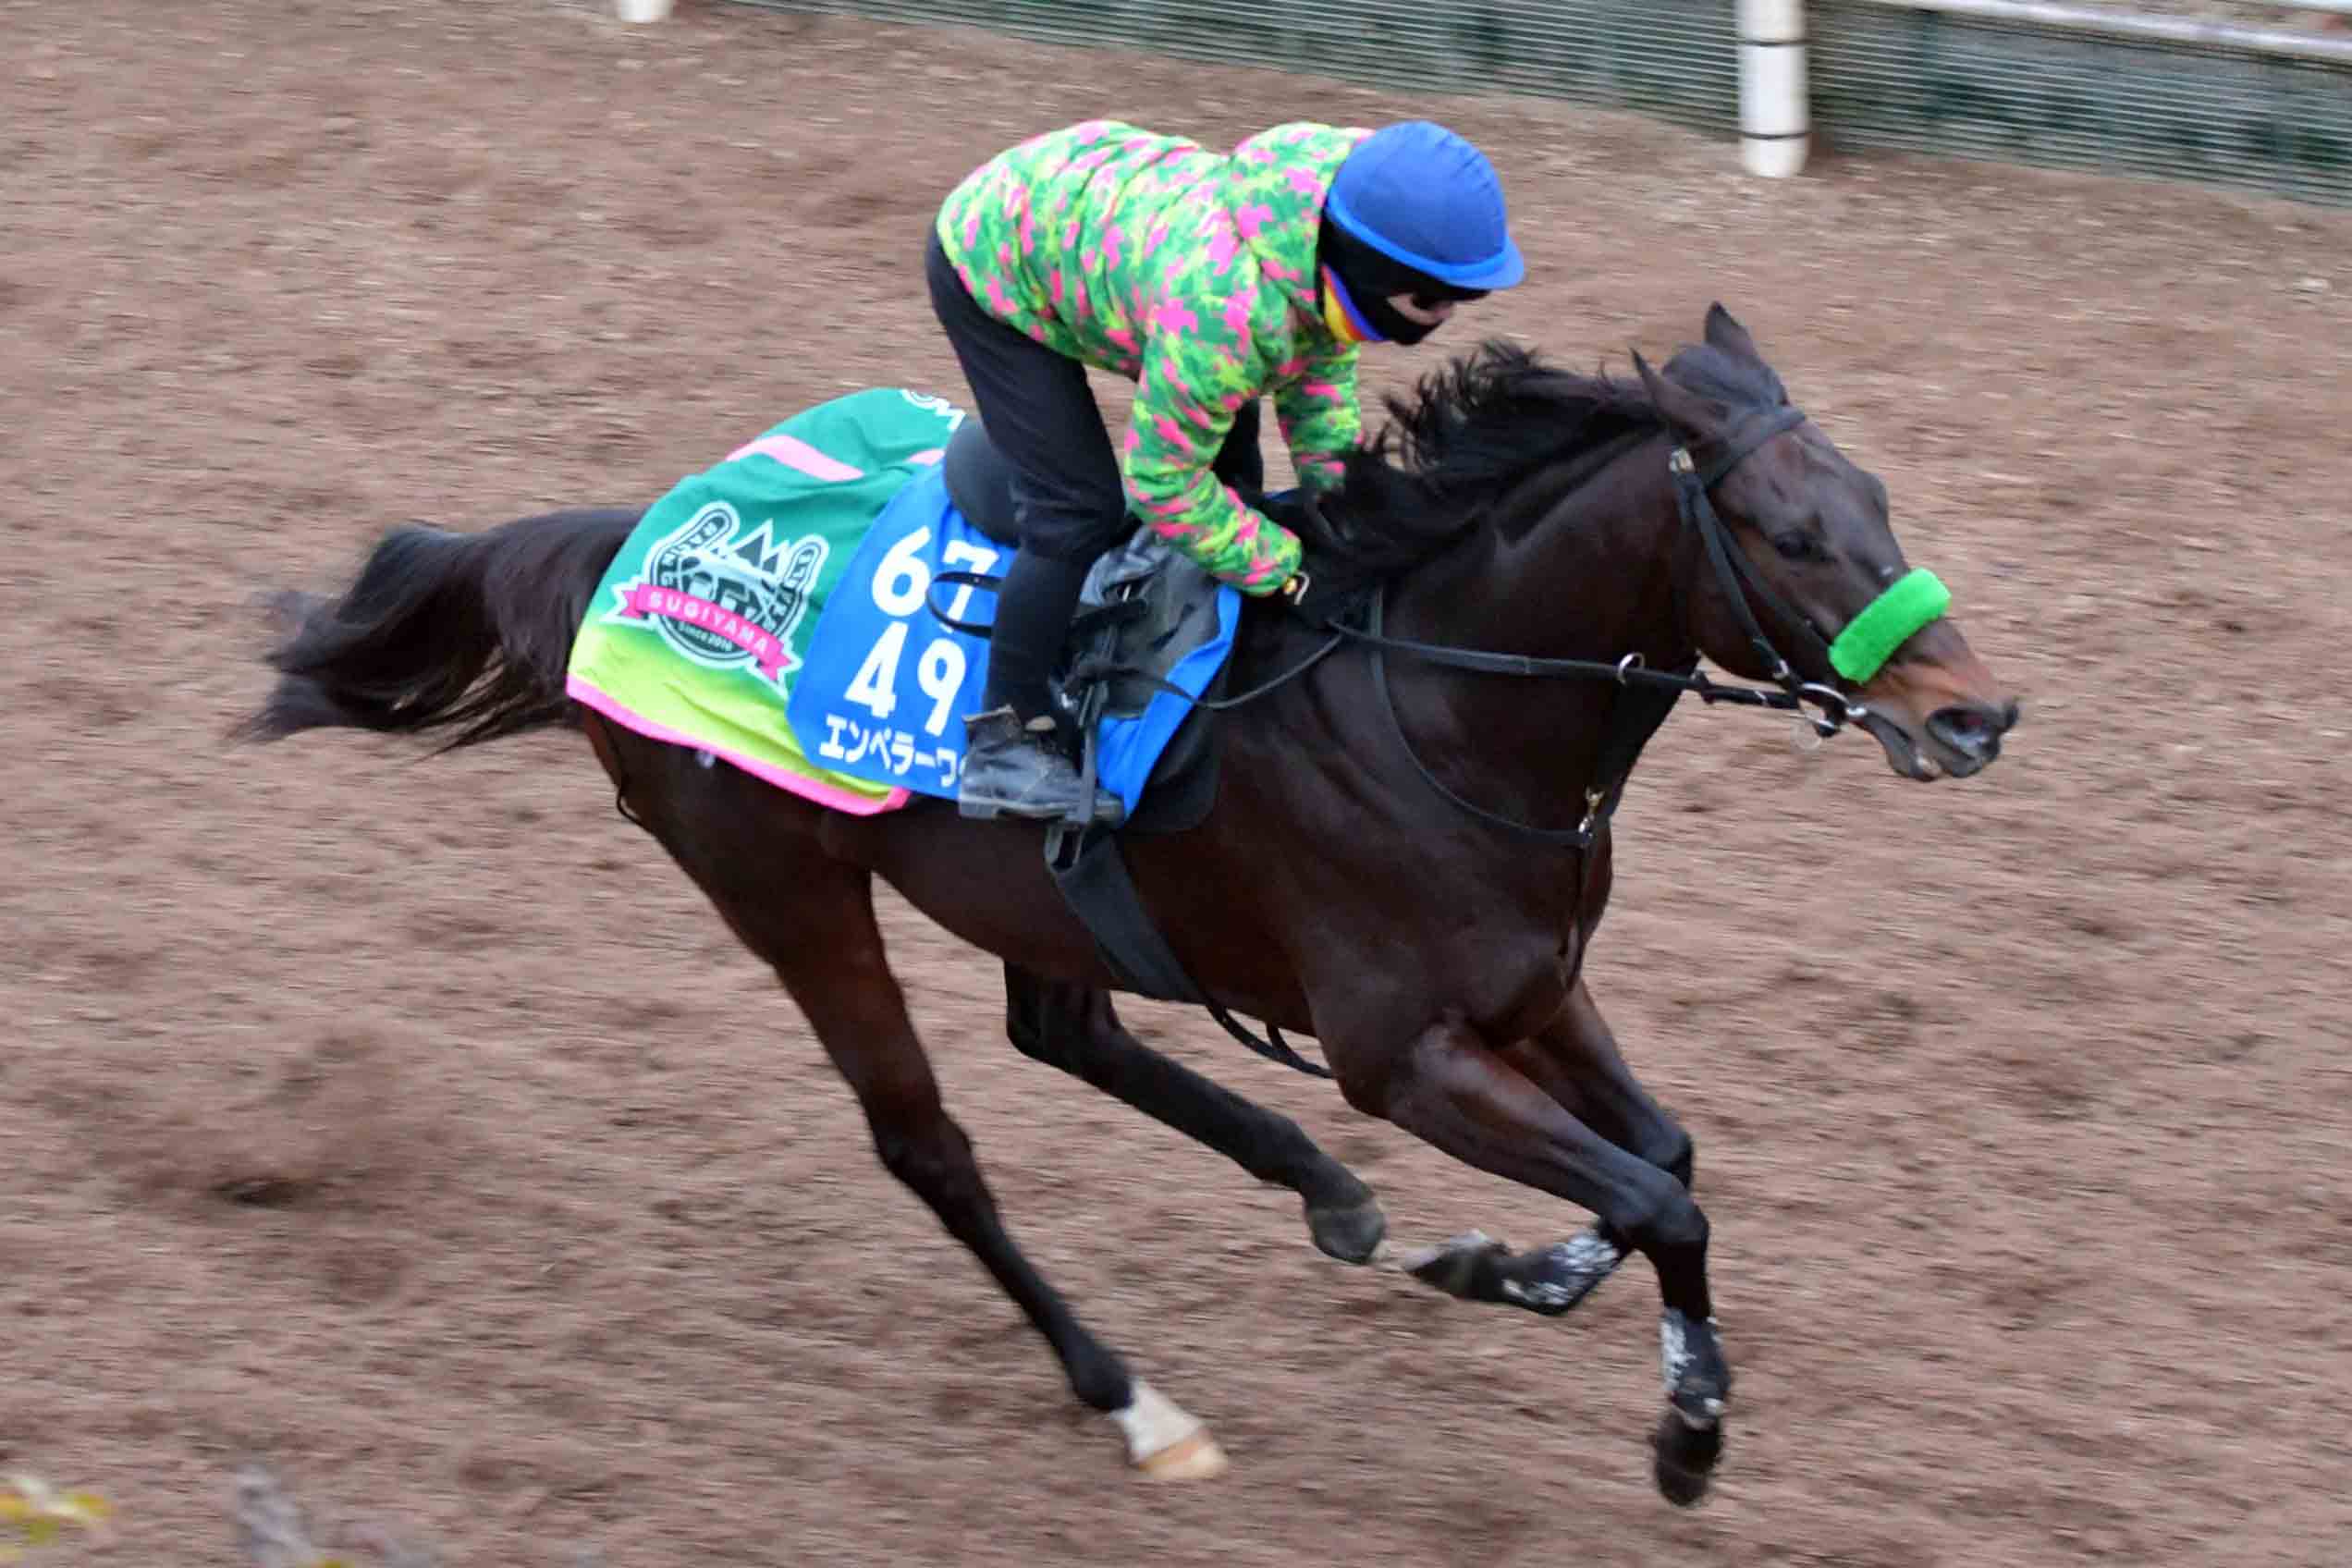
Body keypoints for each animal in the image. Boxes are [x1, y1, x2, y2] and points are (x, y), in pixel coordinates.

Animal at [237, 304, 2020, 1504]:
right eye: (1790, 535)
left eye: (1877, 503)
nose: (1974, 715)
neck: (1438, 708)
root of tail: (641, 541)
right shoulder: (1406, 1055)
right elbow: (1654, 1199)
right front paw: (1668, 1419)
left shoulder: (1535, 991)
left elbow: (1667, 1166)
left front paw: (1528, 1282)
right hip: (782, 883)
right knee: (929, 1145)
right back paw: (1130, 1398)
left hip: (1036, 902)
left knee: (1067, 1033)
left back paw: (1324, 1196)